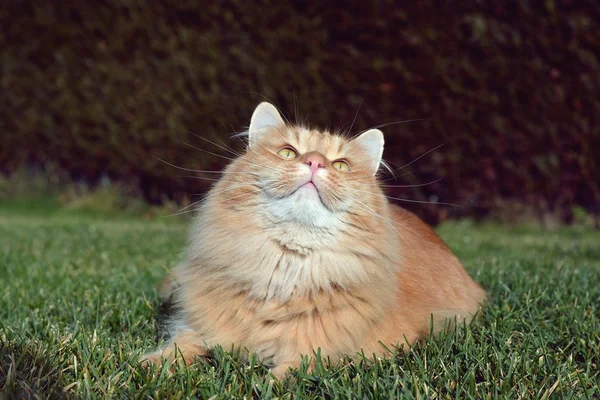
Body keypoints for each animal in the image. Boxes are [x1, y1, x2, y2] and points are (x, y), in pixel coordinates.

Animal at [142, 102, 488, 378]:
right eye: (288, 152)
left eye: (340, 165)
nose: (315, 162)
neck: (285, 272)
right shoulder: (202, 329)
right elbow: (179, 348)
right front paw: (149, 366)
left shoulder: (328, 353)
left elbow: (285, 375)